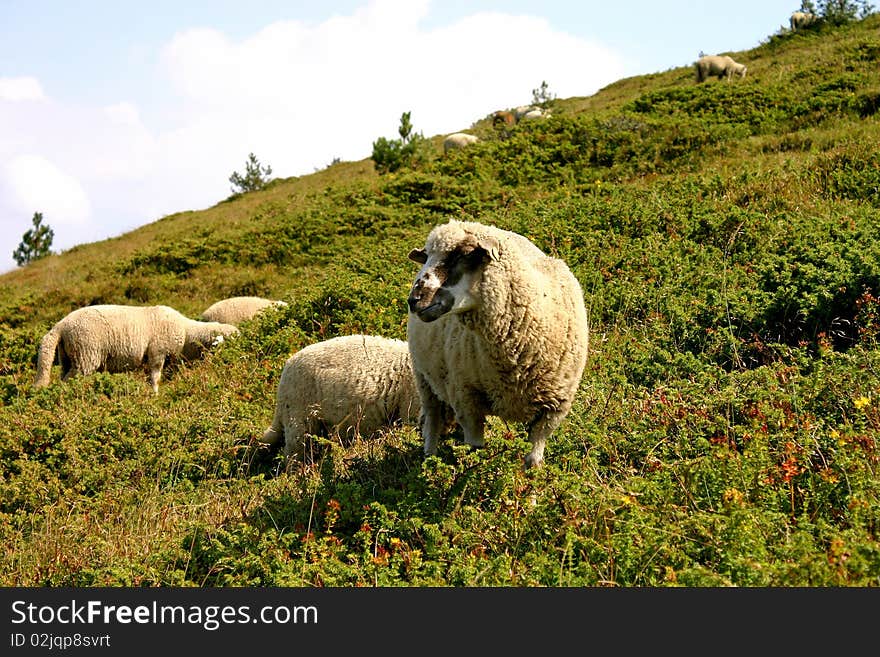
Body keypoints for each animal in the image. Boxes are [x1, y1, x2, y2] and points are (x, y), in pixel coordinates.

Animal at [32, 304, 237, 392]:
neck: (186, 332)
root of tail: (61, 325)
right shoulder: (157, 352)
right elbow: (155, 377)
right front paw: (155, 394)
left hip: (67, 356)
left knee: (63, 376)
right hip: (86, 354)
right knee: (68, 381)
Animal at [408, 219, 592, 466]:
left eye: (463, 254)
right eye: (426, 256)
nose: (414, 300)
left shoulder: (554, 408)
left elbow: (534, 457)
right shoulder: (466, 399)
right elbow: (475, 449)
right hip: (423, 378)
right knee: (433, 419)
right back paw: (430, 457)